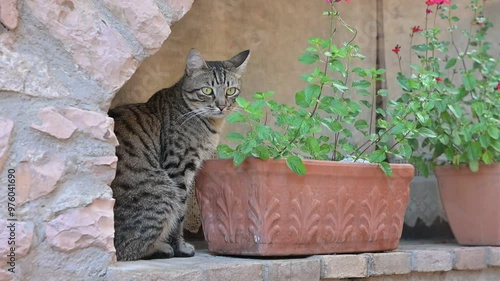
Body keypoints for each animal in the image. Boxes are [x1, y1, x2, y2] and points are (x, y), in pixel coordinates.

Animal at [109, 48, 250, 260]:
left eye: (230, 91)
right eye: (207, 91)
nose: (222, 105)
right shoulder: (179, 167)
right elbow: (180, 215)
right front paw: (179, 247)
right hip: (163, 191)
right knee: (127, 250)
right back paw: (162, 248)